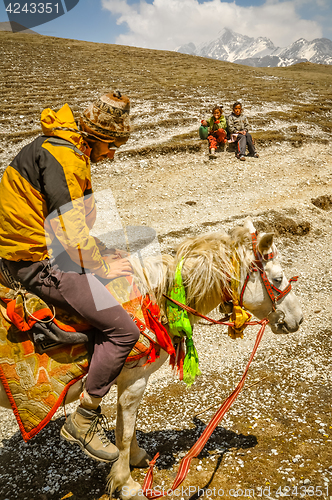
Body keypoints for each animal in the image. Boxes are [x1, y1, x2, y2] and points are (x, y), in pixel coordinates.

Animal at [0, 221, 302, 498]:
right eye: (277, 279)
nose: (297, 319)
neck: (155, 301)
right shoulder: (134, 380)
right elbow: (123, 433)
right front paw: (126, 484)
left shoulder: (128, 381)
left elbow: (128, 427)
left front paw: (137, 459)